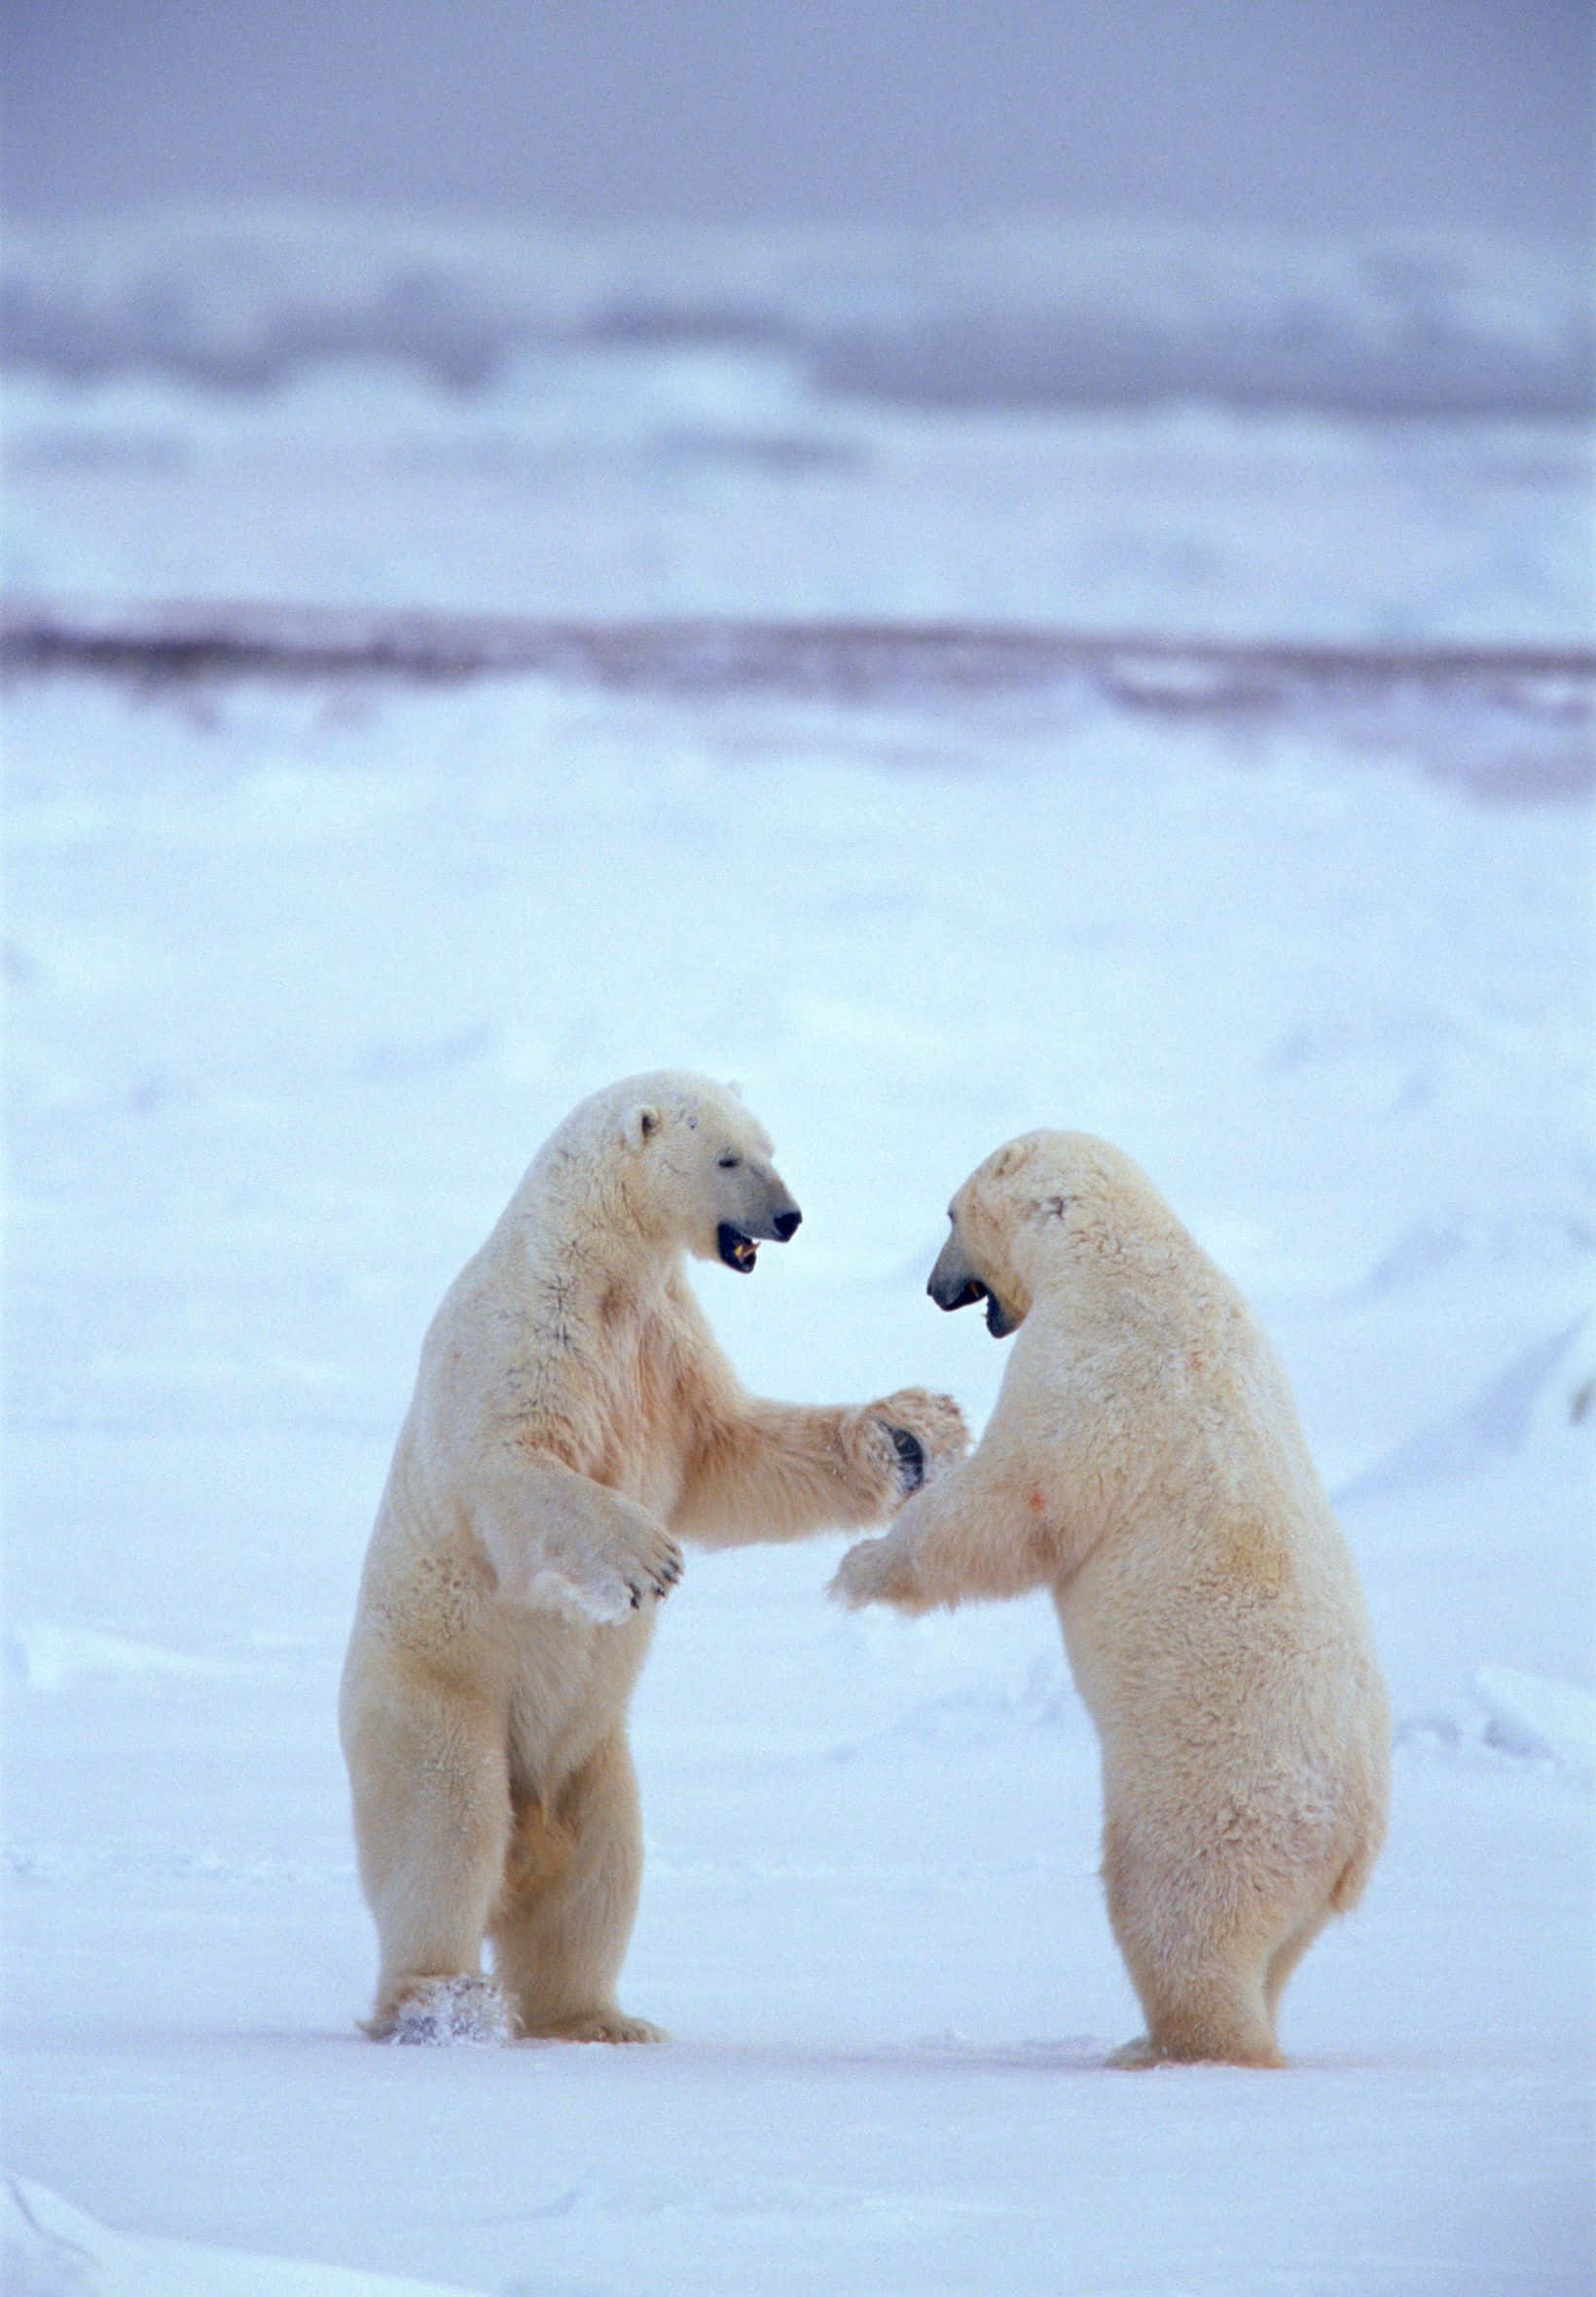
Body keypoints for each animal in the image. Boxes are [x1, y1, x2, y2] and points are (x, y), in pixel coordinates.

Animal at [339, 1071, 969, 2045]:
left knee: (600, 1870)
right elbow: (514, 1468)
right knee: (446, 1830)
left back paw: (597, 2018)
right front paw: (645, 1562)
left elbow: (736, 1454)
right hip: (434, 1692)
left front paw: (910, 1436)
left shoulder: (662, 1348)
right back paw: (444, 2001)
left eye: (771, 1147)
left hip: (591, 1755)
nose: (790, 1218)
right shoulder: (529, 1337)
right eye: (729, 1157)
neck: (600, 1267)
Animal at [830, 1130, 1389, 2068]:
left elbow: (1018, 1501)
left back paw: (1168, 2048)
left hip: (1213, 1807)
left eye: (949, 1214)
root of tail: (1352, 1844)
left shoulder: (1093, 1364)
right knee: (1279, 1954)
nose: (936, 1288)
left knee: (1178, 1919)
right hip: (1305, 1877)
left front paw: (858, 1568)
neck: (1123, 1254)